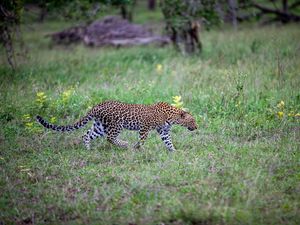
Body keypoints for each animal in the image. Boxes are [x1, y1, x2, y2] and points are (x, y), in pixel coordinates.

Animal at [36, 101, 198, 152]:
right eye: (193, 121)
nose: (197, 127)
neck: (172, 117)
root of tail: (97, 106)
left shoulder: (163, 131)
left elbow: (168, 142)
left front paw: (174, 152)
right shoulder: (144, 128)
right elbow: (142, 140)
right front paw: (138, 149)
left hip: (99, 126)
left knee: (86, 135)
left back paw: (88, 149)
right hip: (116, 125)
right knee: (110, 138)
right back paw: (125, 144)